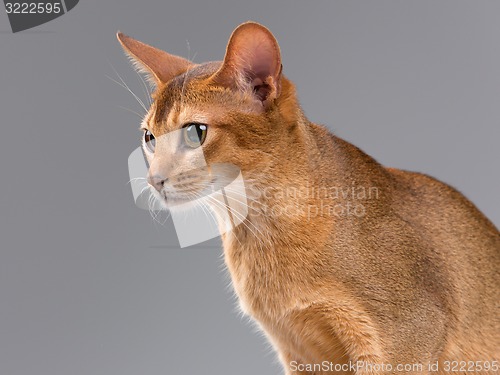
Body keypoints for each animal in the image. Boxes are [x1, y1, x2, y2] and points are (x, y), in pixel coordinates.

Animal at [118, 22, 500, 374]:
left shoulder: (406, 337)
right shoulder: (300, 353)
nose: (153, 180)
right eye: (150, 137)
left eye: (195, 133)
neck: (259, 232)